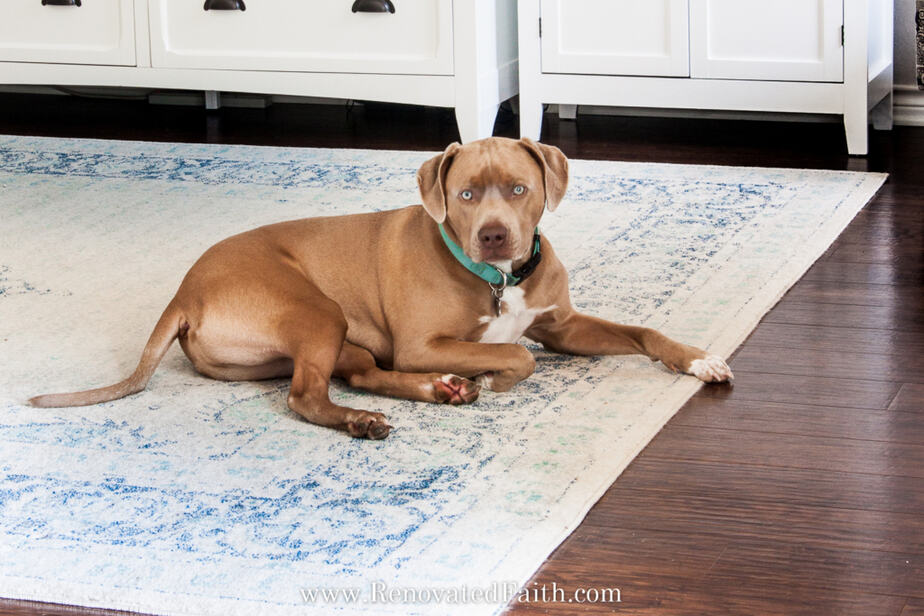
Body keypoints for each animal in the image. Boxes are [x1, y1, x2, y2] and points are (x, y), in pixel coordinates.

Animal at [32, 139, 732, 438]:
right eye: (466, 195)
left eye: (519, 188)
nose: (494, 236)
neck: (499, 280)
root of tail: (185, 291)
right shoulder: (424, 343)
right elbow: (516, 354)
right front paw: (492, 376)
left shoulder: (563, 323)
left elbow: (643, 332)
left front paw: (699, 359)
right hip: (319, 312)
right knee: (308, 396)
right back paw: (371, 418)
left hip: (334, 337)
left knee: (357, 373)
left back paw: (432, 392)